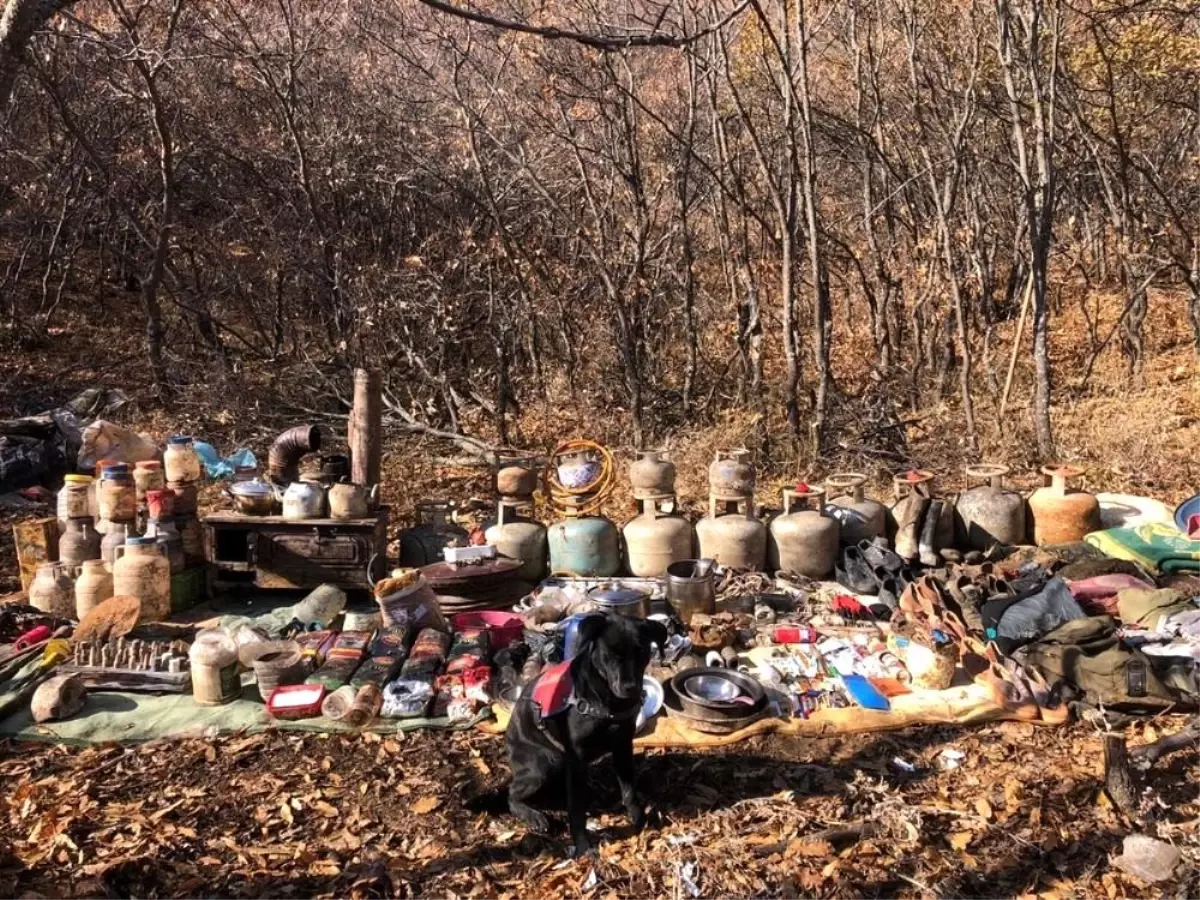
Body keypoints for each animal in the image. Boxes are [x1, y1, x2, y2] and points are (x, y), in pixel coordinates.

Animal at [506, 614, 672, 859]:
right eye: (609, 654)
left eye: (642, 652)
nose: (630, 688)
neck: (607, 702)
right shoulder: (576, 759)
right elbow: (576, 809)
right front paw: (583, 846)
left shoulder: (623, 746)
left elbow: (629, 789)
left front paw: (638, 817)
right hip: (543, 764)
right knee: (512, 795)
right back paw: (534, 816)